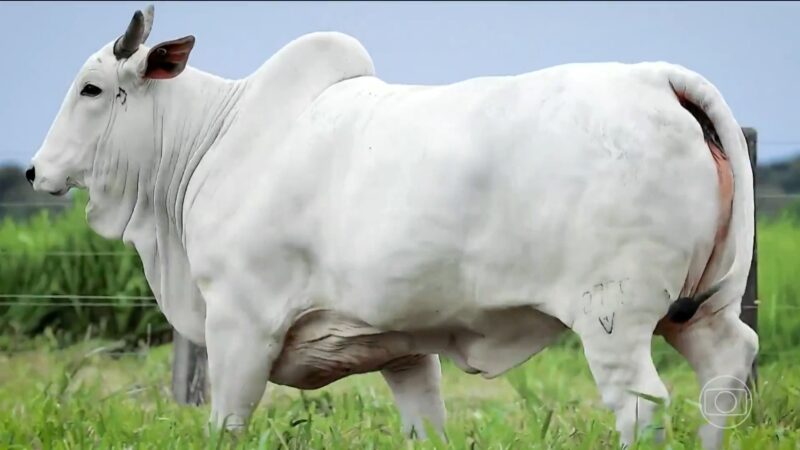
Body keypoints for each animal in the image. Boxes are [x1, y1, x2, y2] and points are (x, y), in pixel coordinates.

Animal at [27, 5, 757, 449]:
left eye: (92, 88)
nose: (34, 171)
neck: (212, 141)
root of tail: (658, 80)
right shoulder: (403, 347)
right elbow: (425, 425)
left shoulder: (241, 326)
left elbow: (226, 426)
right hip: (701, 310)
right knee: (726, 368)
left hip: (614, 319)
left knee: (642, 404)